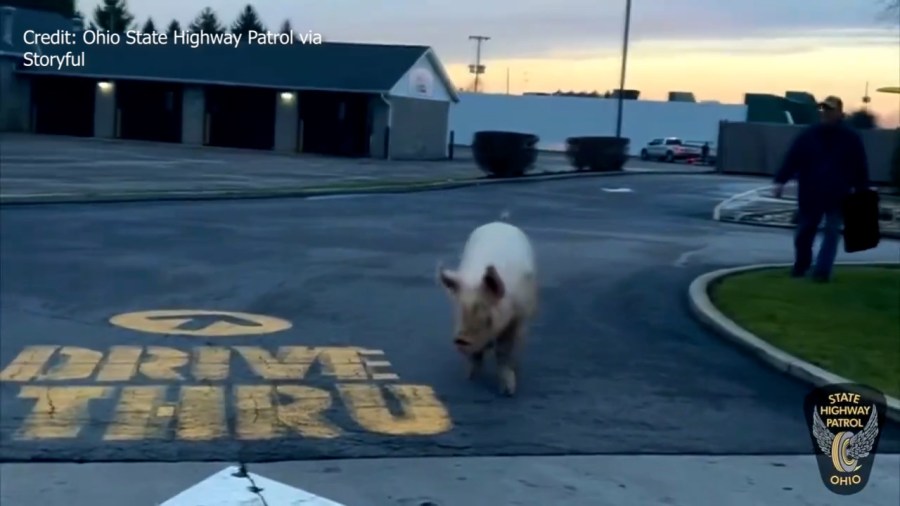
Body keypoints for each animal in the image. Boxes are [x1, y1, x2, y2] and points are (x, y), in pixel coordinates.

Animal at [436, 213, 536, 396]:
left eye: (488, 317)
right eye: (459, 310)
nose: (461, 340)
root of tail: (500, 223)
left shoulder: (517, 318)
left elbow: (504, 351)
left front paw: (508, 391)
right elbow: (476, 356)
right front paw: (470, 378)